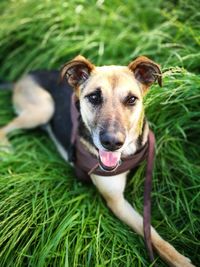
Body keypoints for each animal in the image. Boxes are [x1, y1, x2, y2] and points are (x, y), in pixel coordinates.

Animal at [0, 55, 195, 266]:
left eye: (131, 99)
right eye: (94, 97)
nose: (112, 142)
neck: (126, 153)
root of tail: (22, 78)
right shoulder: (116, 201)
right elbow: (152, 235)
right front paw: (180, 260)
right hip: (44, 108)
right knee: (4, 128)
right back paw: (7, 148)